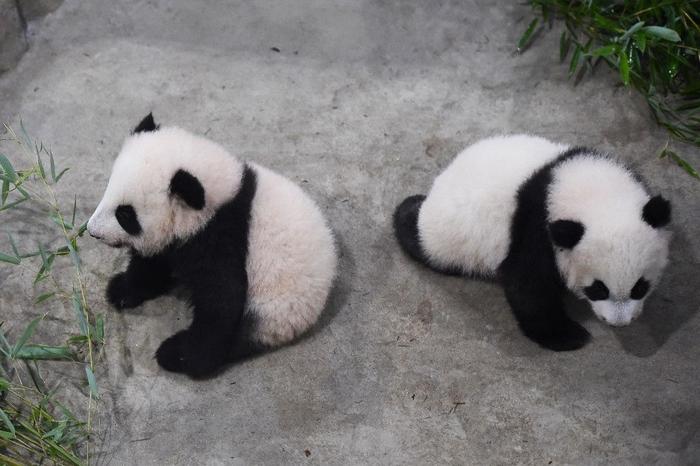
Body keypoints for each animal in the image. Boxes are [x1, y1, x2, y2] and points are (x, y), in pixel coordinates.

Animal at [87, 113, 337, 378]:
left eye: (125, 214)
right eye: (107, 191)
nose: (92, 232)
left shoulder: (222, 238)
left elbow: (222, 298)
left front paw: (185, 356)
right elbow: (154, 263)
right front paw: (121, 289)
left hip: (275, 308)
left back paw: (179, 353)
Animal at [394, 134, 671, 351]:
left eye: (640, 287)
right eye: (598, 289)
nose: (619, 322)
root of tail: (438, 186)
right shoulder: (534, 227)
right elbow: (527, 284)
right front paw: (567, 335)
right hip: (450, 237)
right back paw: (407, 211)